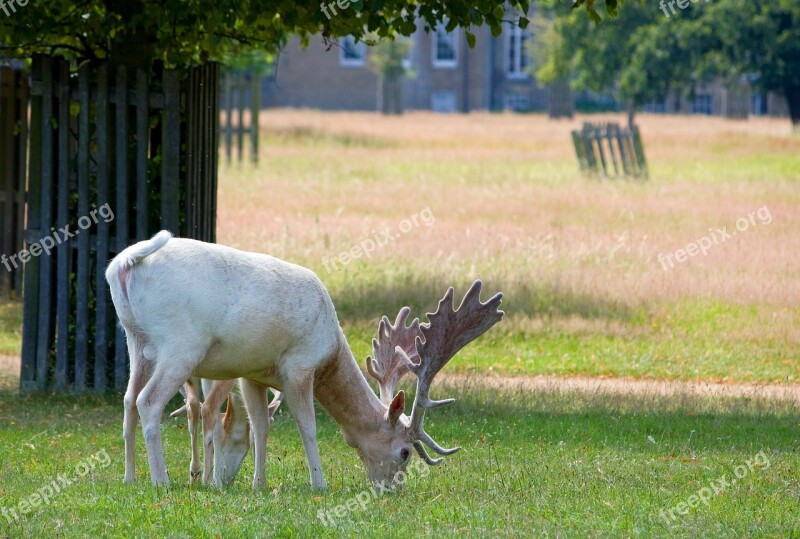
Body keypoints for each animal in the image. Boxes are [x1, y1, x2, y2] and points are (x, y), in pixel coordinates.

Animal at [105, 230, 500, 492]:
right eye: (404, 452)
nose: (394, 489)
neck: (330, 350)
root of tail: (123, 264)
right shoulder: (299, 365)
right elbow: (306, 427)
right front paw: (319, 484)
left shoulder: (253, 374)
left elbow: (261, 426)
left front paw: (258, 483)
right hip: (181, 344)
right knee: (148, 401)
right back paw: (161, 481)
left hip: (136, 342)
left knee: (127, 400)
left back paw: (129, 477)